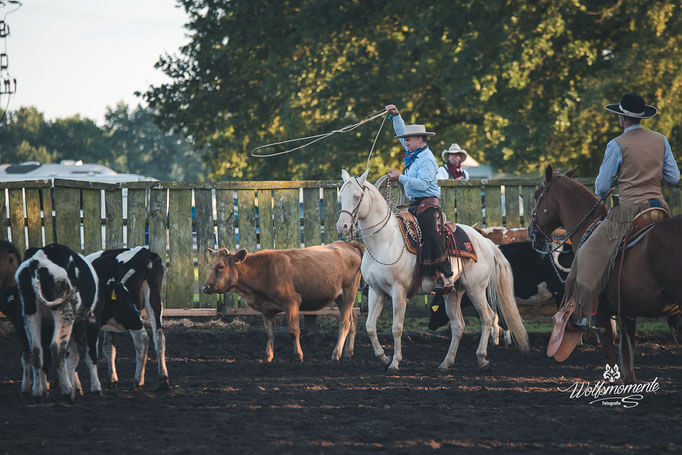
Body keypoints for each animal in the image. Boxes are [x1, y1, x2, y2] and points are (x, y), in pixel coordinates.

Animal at [14, 244, 101, 400]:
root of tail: (37, 261)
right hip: (64, 313)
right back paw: (67, 391)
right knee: (57, 348)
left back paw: (38, 392)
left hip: (30, 313)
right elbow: (90, 354)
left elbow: (72, 356)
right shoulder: (92, 320)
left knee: (36, 350)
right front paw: (96, 388)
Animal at [86, 246, 169, 392]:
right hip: (154, 300)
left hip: (130, 313)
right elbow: (109, 347)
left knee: (142, 339)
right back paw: (163, 380)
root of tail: (145, 253)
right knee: (159, 337)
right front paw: (112, 378)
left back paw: (138, 380)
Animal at [201, 242, 364, 364]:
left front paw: (298, 356)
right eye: (210, 266)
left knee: (345, 323)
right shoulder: (266, 309)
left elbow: (293, 331)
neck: (265, 271)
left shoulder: (291, 302)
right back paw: (348, 352)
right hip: (340, 298)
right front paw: (268, 357)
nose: (205, 287)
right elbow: (270, 333)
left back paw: (336, 354)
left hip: (349, 292)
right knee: (353, 318)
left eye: (220, 266)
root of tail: (347, 244)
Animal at [334, 169, 524, 372]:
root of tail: (486, 242)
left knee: (487, 317)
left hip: (476, 288)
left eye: (357, 196)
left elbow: (397, 328)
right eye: (341, 197)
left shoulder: (399, 291)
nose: (342, 226)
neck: (384, 241)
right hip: (453, 292)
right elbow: (370, 326)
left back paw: (481, 358)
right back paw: (445, 363)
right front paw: (383, 358)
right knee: (458, 325)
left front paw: (395, 362)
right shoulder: (376, 290)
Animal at [524, 166, 680, 382]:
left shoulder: (602, 316)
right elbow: (628, 362)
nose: (532, 232)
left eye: (537, 195)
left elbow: (612, 358)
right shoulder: (627, 313)